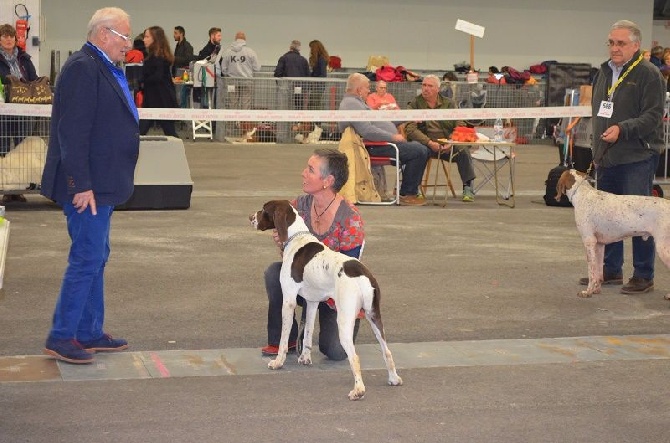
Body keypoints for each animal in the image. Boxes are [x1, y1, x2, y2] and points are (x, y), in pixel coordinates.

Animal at [248, 199, 402, 400]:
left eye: (264, 210)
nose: (250, 217)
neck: (296, 237)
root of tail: (361, 273)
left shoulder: (288, 300)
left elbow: (284, 338)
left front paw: (278, 361)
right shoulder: (312, 302)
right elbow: (308, 331)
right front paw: (305, 358)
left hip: (344, 320)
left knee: (354, 357)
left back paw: (358, 390)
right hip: (374, 316)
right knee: (387, 351)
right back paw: (393, 378)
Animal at [556, 169, 670, 298]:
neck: (583, 194)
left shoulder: (589, 242)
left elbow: (591, 272)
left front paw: (588, 291)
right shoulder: (599, 244)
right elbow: (598, 272)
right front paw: (596, 290)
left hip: (663, 247)